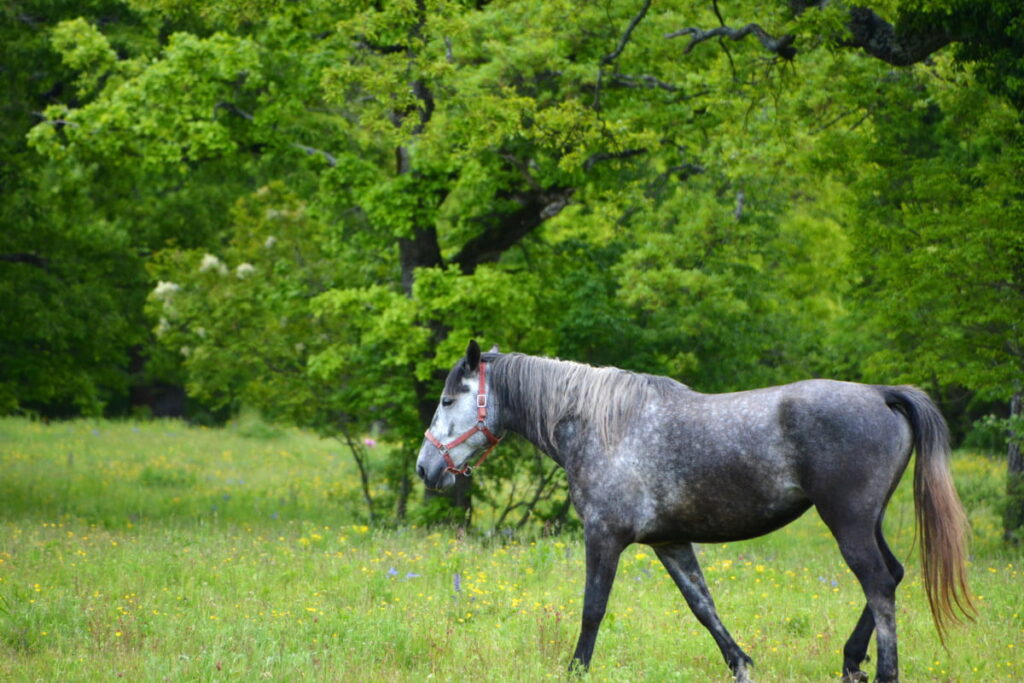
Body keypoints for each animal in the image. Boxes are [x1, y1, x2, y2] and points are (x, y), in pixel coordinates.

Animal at [413, 342, 966, 683]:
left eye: (448, 400)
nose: (424, 467)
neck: (601, 423)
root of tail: (882, 394)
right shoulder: (670, 543)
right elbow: (704, 607)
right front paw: (741, 665)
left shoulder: (604, 537)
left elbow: (593, 609)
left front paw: (575, 669)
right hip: (868, 521)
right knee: (893, 575)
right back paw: (852, 661)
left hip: (848, 522)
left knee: (878, 584)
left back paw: (882, 671)